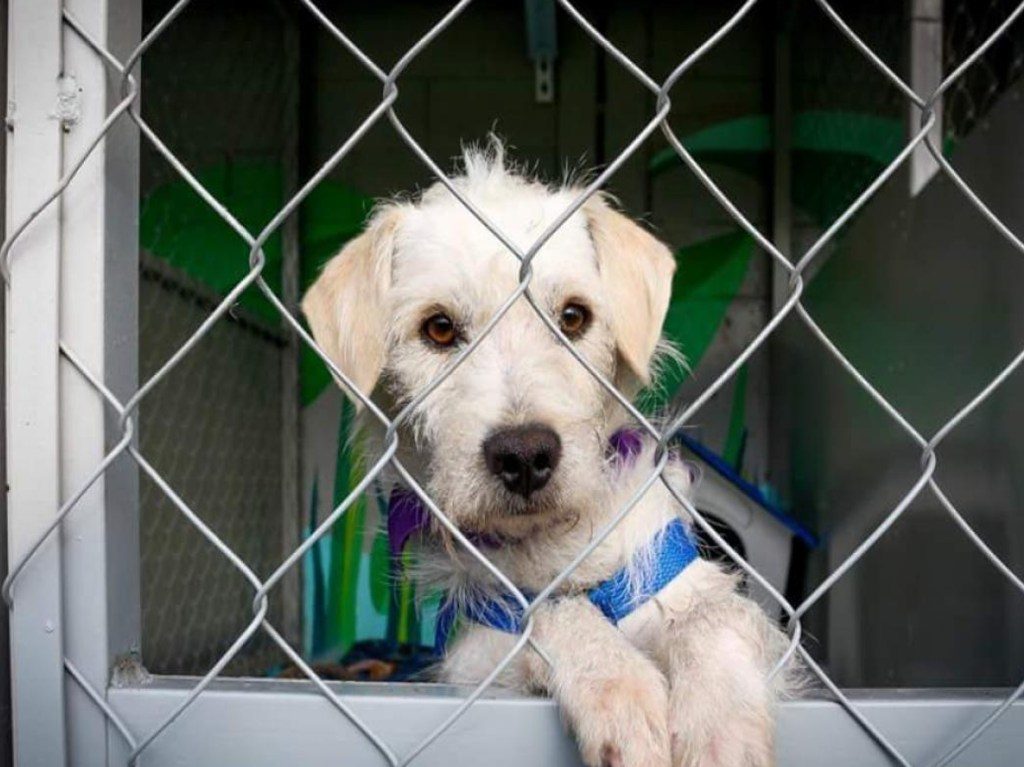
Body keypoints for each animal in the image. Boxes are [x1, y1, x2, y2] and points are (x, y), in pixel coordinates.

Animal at [301, 142, 790, 761]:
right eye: (439, 329)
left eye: (574, 316)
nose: (524, 456)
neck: (555, 547)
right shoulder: (478, 653)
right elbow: (551, 614)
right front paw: (621, 687)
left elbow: (714, 614)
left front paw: (723, 730)